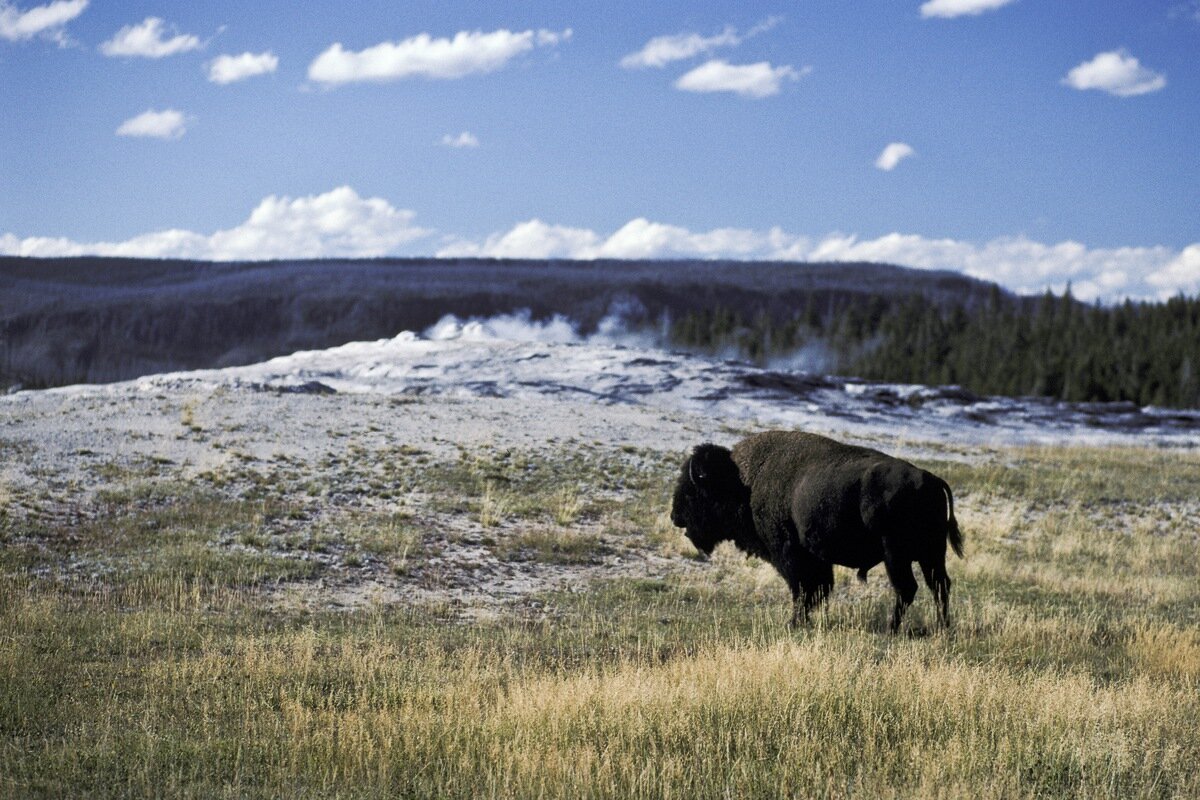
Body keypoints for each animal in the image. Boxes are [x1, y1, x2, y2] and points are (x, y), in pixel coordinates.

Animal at [676, 431, 964, 633]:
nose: (676, 519)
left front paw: (794, 622)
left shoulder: (790, 552)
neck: (743, 482)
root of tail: (930, 480)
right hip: (931, 554)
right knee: (939, 585)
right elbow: (819, 587)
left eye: (692, 493)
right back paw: (943, 627)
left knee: (907, 588)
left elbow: (803, 587)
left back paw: (891, 629)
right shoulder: (817, 557)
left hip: (896, 555)